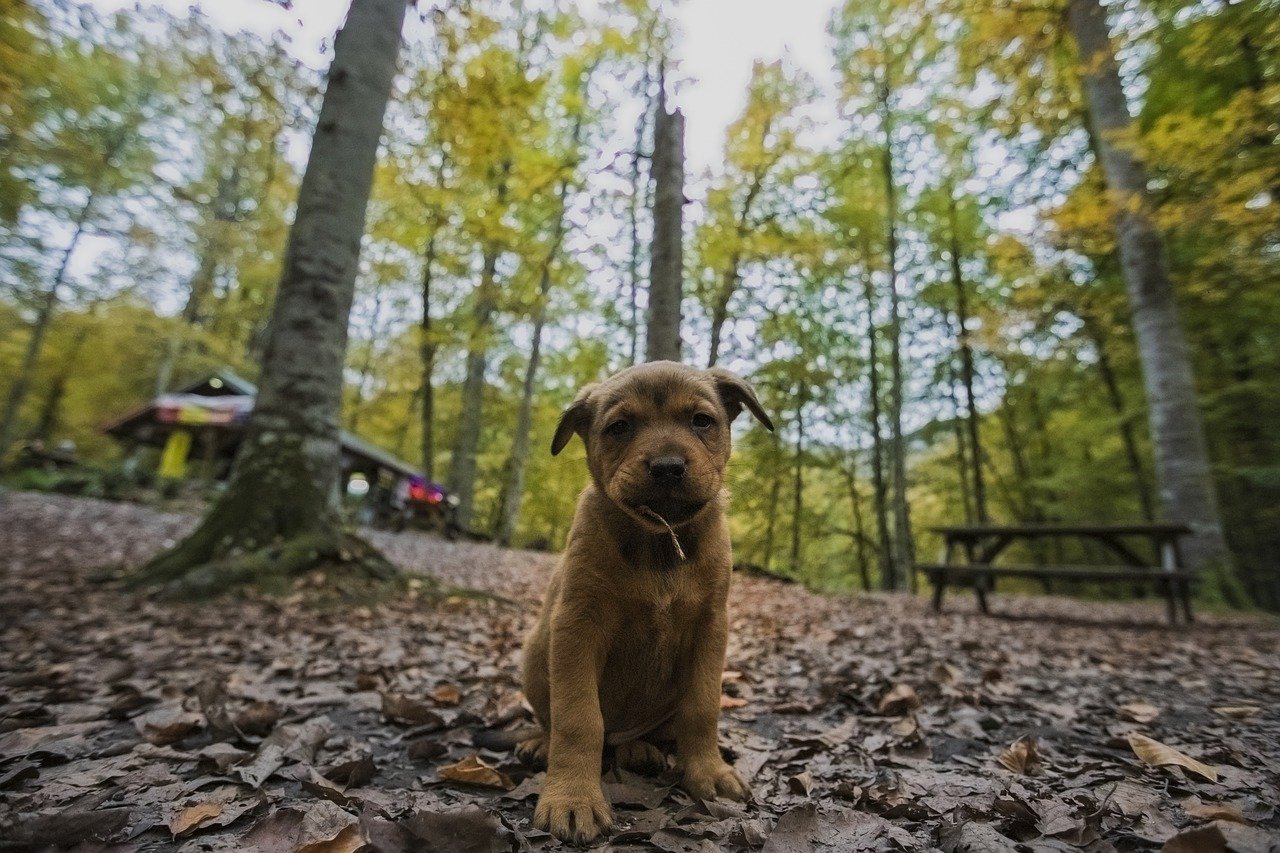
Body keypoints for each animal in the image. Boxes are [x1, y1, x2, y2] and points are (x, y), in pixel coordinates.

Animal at [517, 361, 768, 845]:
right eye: (620, 427)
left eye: (701, 421)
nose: (668, 467)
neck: (659, 542)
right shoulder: (577, 624)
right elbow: (578, 719)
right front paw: (572, 799)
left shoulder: (711, 628)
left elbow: (702, 708)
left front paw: (709, 773)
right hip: (536, 654)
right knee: (559, 721)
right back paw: (542, 743)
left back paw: (641, 749)